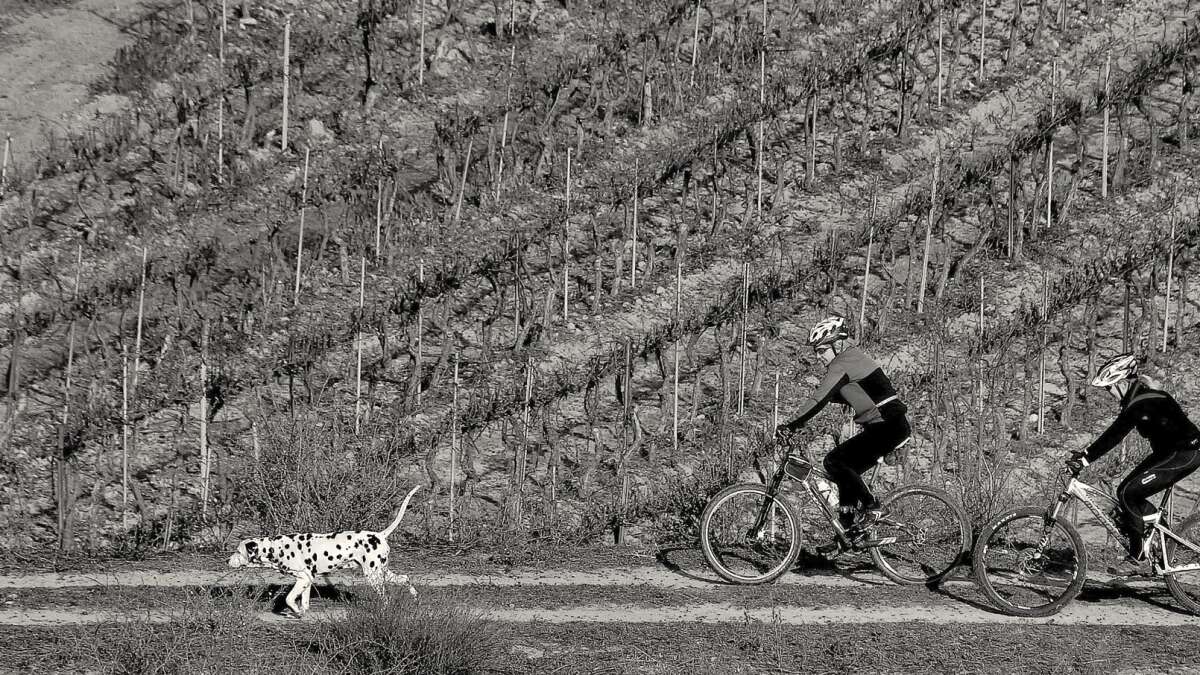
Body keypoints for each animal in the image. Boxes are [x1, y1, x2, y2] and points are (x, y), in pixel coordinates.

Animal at [228, 482, 422, 614]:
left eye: (238, 551)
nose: (227, 560)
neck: (277, 548)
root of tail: (380, 535)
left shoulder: (302, 579)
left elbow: (289, 599)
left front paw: (295, 611)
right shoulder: (306, 580)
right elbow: (304, 602)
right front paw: (301, 612)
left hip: (373, 576)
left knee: (386, 597)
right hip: (382, 572)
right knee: (405, 579)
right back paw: (415, 597)